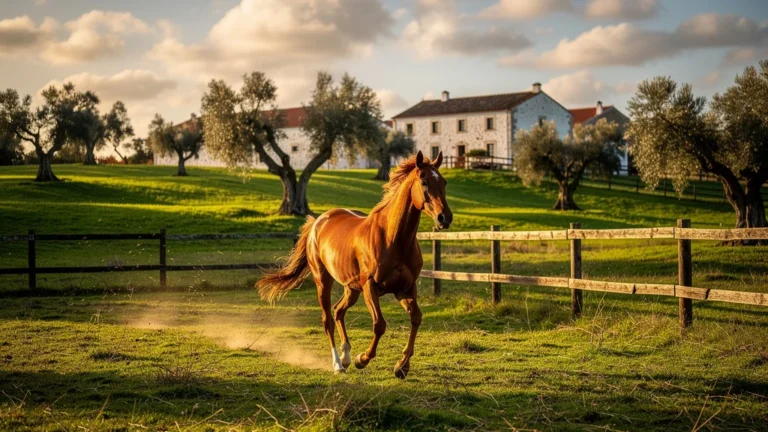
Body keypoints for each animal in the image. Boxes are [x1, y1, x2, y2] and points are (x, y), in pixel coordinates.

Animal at [257, 151, 452, 378]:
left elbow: (416, 318)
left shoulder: (405, 288)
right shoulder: (371, 286)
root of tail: (317, 222)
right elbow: (379, 325)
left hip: (351, 288)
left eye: (444, 181)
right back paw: (338, 364)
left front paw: (401, 367)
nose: (445, 218)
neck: (392, 238)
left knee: (338, 311)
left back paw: (346, 357)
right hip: (323, 280)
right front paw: (363, 359)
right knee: (328, 320)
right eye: (423, 181)